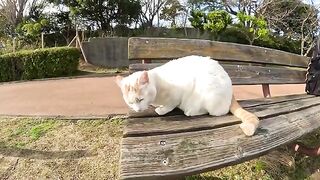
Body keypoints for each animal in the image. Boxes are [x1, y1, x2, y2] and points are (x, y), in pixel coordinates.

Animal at [116, 55, 258, 136]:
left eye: (140, 99)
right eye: (130, 103)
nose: (137, 110)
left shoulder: (180, 91)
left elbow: (170, 105)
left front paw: (161, 110)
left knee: (214, 112)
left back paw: (190, 111)